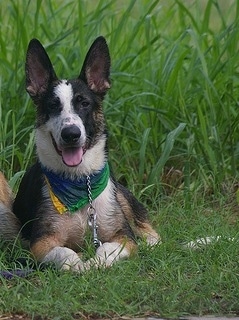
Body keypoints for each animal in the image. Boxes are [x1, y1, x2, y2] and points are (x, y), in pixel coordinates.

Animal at [0, 37, 161, 272]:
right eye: (53, 105)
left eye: (84, 103)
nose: (71, 134)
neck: (79, 181)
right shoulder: (40, 242)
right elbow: (63, 252)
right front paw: (78, 264)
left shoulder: (124, 237)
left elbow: (109, 248)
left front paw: (96, 261)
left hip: (122, 197)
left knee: (149, 230)